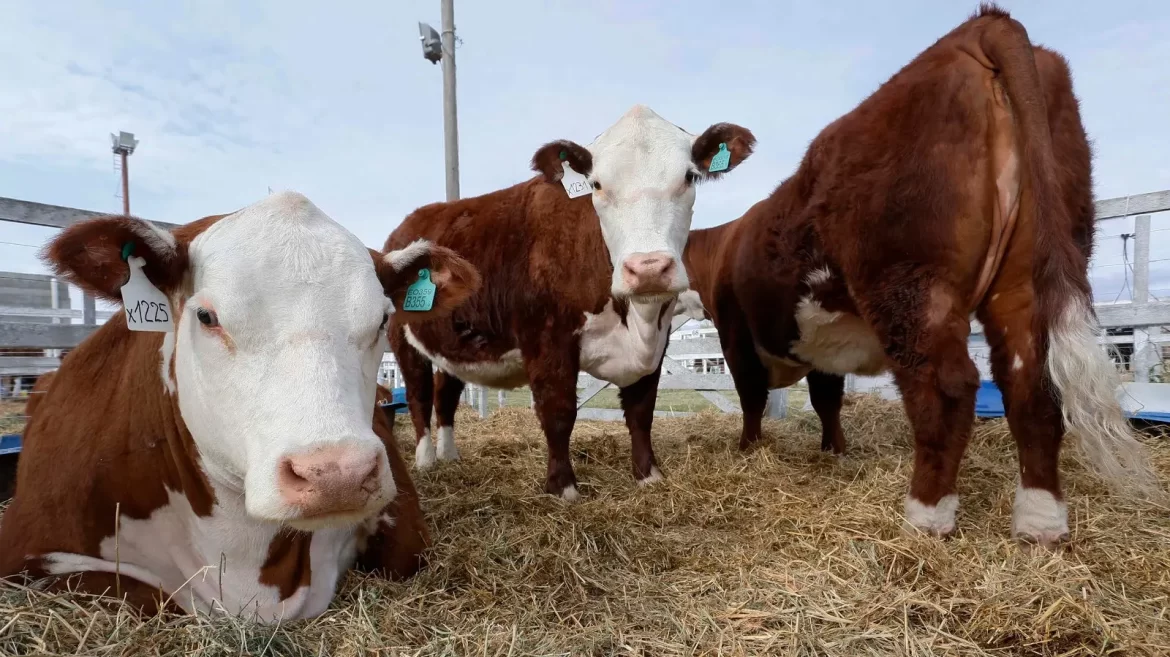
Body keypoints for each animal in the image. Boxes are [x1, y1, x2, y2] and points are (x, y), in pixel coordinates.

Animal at [383, 104, 748, 498]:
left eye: (690, 177)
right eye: (597, 184)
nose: (648, 268)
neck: (637, 322)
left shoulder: (657, 342)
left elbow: (641, 410)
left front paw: (648, 474)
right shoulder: (547, 340)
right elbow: (558, 412)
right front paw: (563, 488)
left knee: (445, 394)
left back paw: (450, 456)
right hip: (403, 341)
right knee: (419, 396)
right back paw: (426, 460)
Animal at [669, 3, 1160, 547]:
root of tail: (981, 25)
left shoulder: (736, 330)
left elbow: (753, 397)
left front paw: (749, 450)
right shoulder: (818, 335)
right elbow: (827, 398)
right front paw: (834, 451)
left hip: (910, 284)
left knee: (946, 390)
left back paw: (926, 515)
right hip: (1028, 271)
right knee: (1032, 383)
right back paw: (1040, 522)